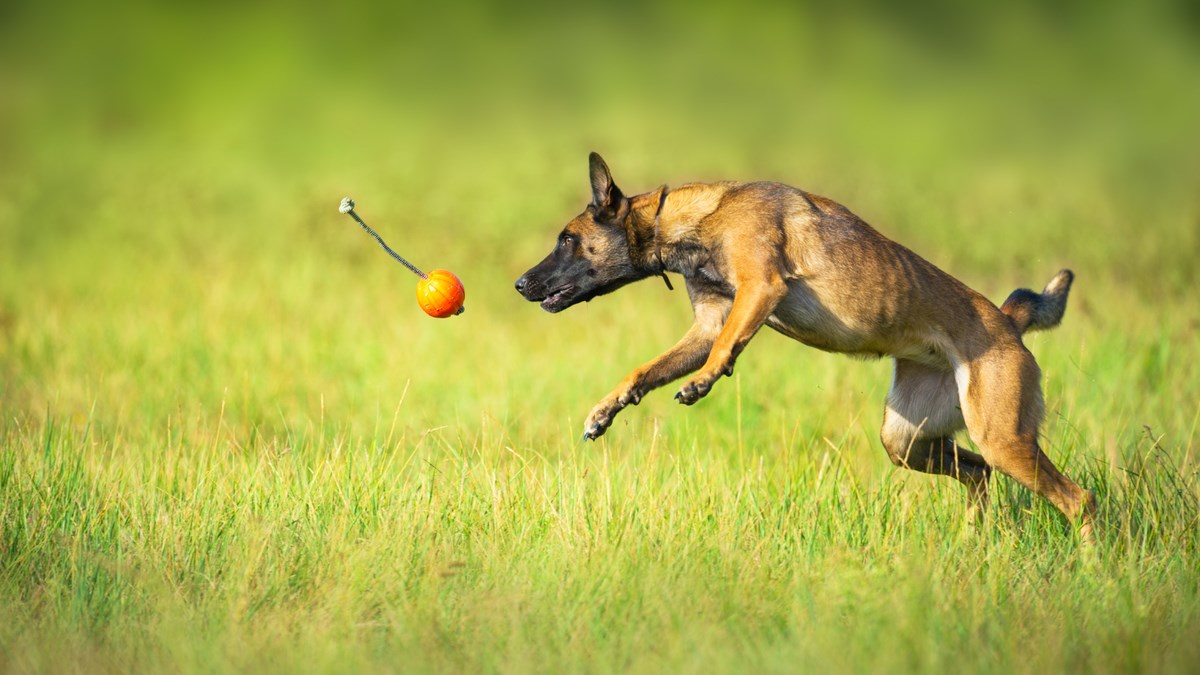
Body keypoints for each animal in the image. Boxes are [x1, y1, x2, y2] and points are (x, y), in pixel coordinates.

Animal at [516, 152, 1099, 535]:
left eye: (566, 240)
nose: (521, 284)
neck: (693, 219)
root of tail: (1008, 321)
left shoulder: (760, 289)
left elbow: (725, 347)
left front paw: (704, 382)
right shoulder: (707, 323)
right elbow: (643, 371)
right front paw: (605, 410)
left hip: (1003, 438)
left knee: (1079, 499)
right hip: (906, 440)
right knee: (978, 476)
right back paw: (975, 544)